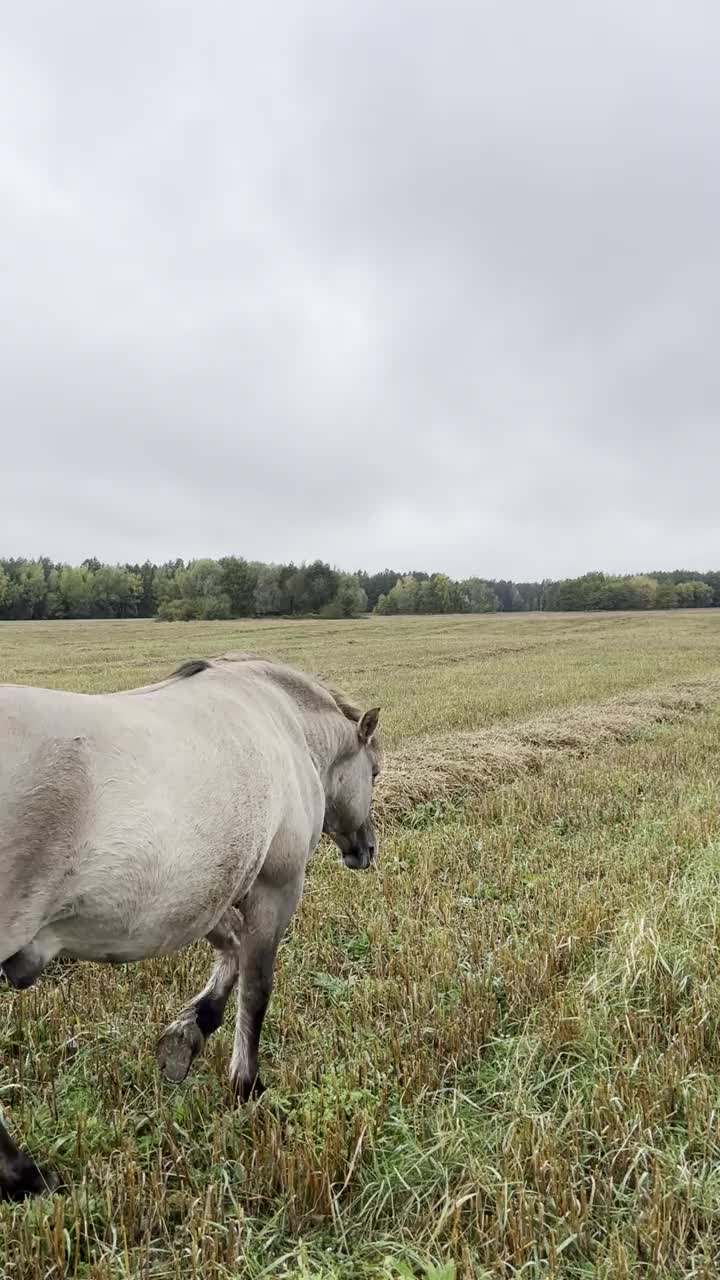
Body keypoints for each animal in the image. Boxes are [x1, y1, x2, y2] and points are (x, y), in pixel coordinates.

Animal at [0, 650, 379, 1198]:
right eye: (376, 771)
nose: (365, 849)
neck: (281, 718)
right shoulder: (276, 888)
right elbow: (256, 988)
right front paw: (246, 1083)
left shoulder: (206, 893)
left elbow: (231, 951)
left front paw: (189, 1032)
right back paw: (23, 1174)